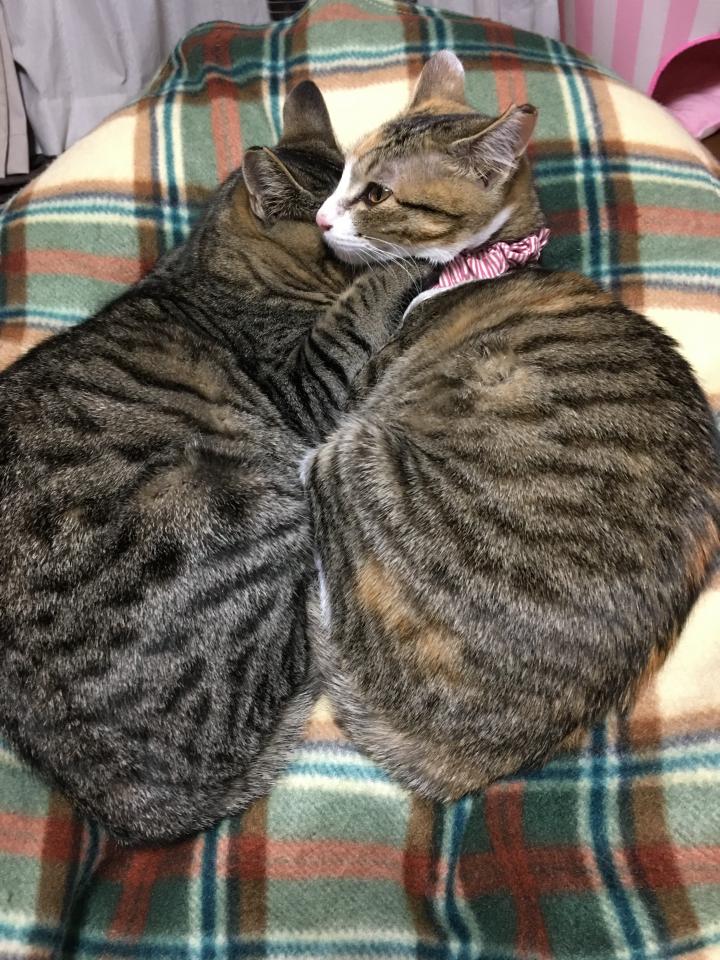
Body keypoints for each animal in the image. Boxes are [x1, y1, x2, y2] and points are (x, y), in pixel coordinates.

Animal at [0, 81, 427, 843]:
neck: (219, 271)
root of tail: (134, 812)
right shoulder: (303, 384)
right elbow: (358, 308)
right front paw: (401, 266)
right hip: (258, 511)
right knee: (302, 649)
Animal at [303, 52, 720, 801]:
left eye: (377, 194)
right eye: (346, 172)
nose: (321, 219)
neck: (487, 259)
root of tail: (473, 759)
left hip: (355, 454)